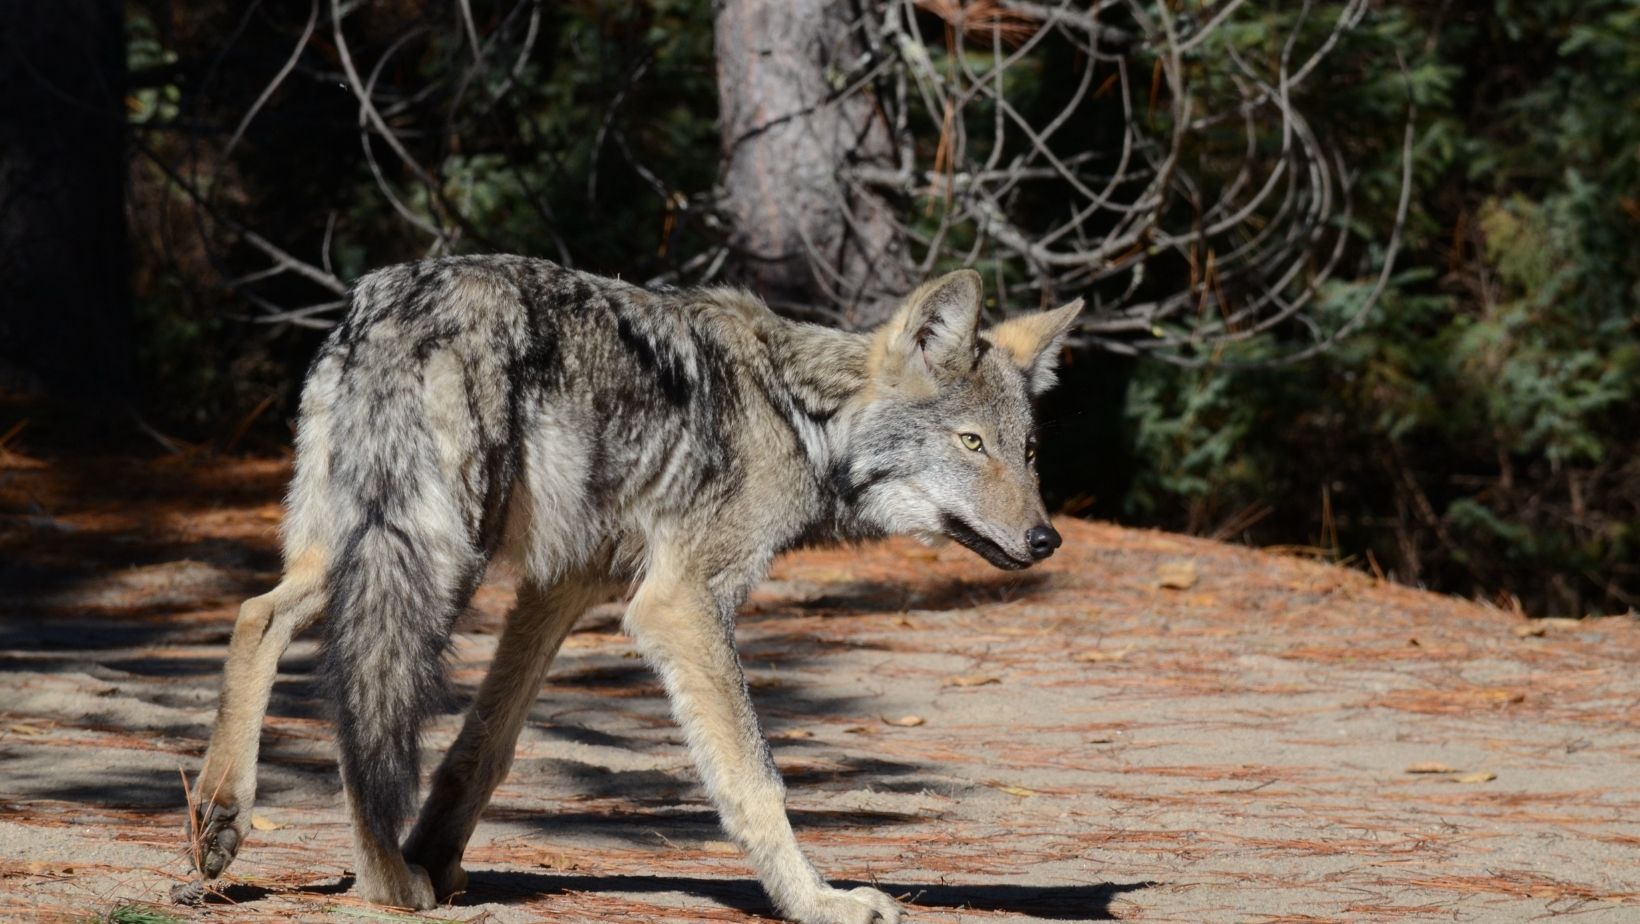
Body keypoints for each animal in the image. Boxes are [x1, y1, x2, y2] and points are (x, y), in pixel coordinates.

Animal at [185, 256, 1081, 923]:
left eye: (1029, 450)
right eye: (971, 444)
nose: (1046, 540)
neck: (800, 416)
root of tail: (398, 301)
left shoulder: (561, 587)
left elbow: (485, 745)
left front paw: (436, 854)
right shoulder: (680, 603)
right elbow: (756, 777)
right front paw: (818, 901)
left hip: (365, 550)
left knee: (257, 616)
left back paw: (225, 818)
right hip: (437, 558)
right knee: (362, 694)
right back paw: (380, 881)